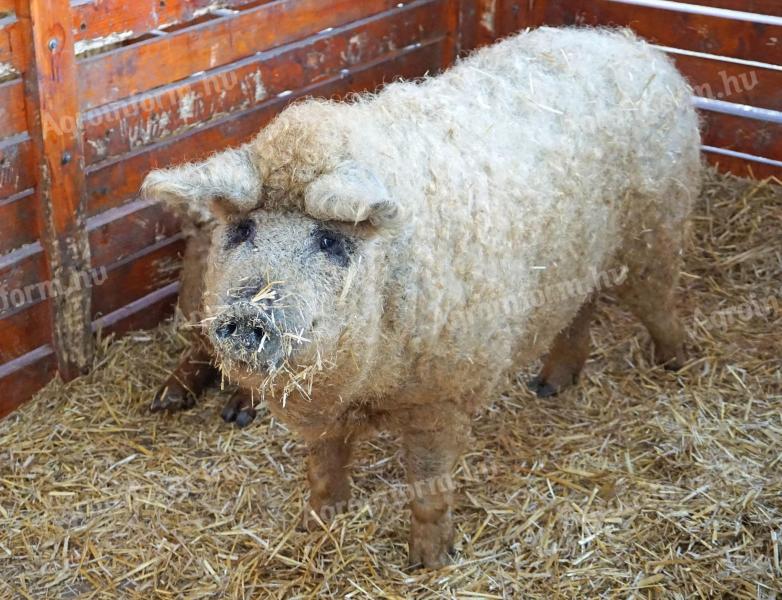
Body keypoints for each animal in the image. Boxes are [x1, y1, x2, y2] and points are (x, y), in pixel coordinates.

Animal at [144, 25, 700, 564]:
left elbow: (429, 485)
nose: (249, 313)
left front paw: (429, 563)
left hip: (656, 227)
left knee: (657, 301)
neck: (366, 381)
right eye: (242, 231)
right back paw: (548, 386)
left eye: (328, 241)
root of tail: (639, 47)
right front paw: (317, 524)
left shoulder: (444, 395)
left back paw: (678, 364)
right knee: (580, 310)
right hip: (581, 255)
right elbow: (323, 466)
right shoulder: (323, 415)